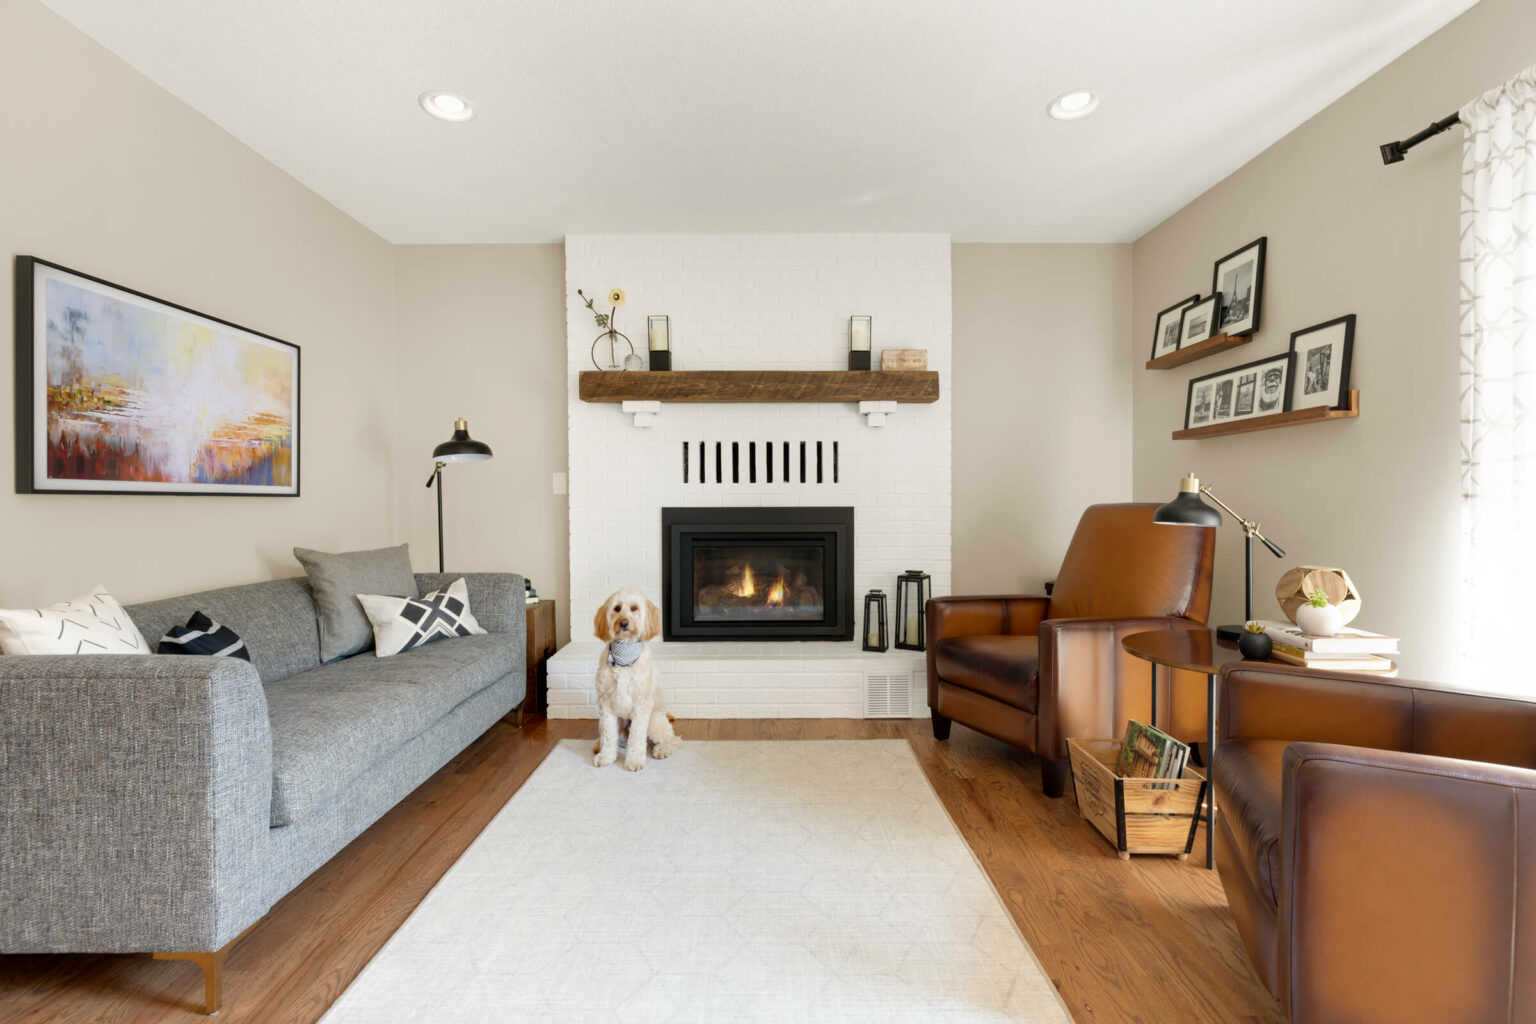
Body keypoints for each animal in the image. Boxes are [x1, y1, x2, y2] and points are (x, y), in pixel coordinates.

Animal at [589, 589, 681, 773]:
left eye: (634, 608)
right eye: (617, 608)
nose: (624, 623)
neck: (624, 655)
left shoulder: (641, 704)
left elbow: (637, 736)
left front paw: (634, 761)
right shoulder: (606, 703)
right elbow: (609, 736)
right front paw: (606, 757)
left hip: (654, 720)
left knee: (672, 739)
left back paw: (662, 749)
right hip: (604, 722)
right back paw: (598, 745)